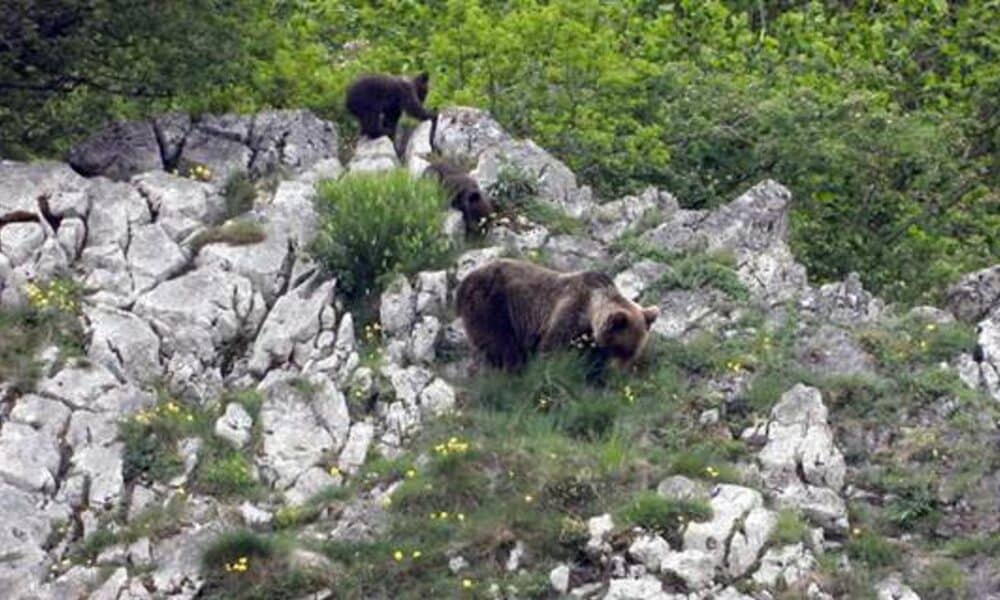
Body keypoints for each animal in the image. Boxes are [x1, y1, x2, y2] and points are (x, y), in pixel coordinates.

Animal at [458, 260, 660, 372]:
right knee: (500, 342)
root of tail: (465, 281)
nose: (619, 372)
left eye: (633, 353)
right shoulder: (570, 308)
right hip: (492, 305)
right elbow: (551, 346)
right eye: (620, 348)